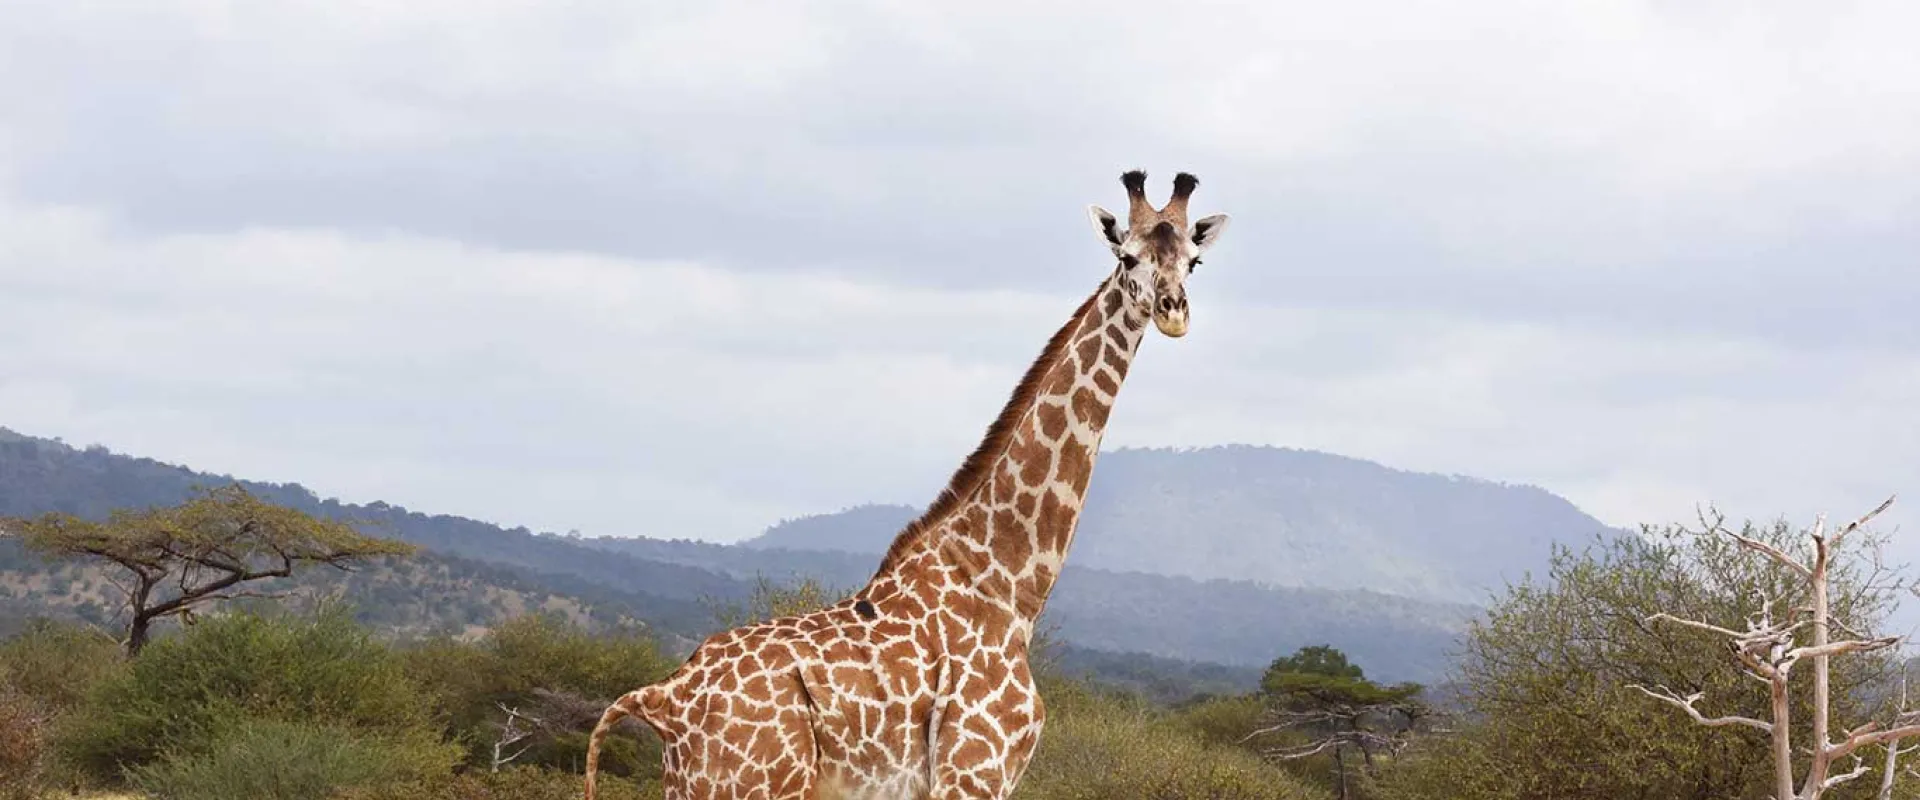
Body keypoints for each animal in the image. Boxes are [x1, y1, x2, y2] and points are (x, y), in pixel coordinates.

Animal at [585, 170, 1233, 800]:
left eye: (1193, 261)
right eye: (1127, 256)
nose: (1173, 310)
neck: (1008, 586)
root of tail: (662, 699)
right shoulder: (973, 774)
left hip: (694, 785)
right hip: (751, 786)